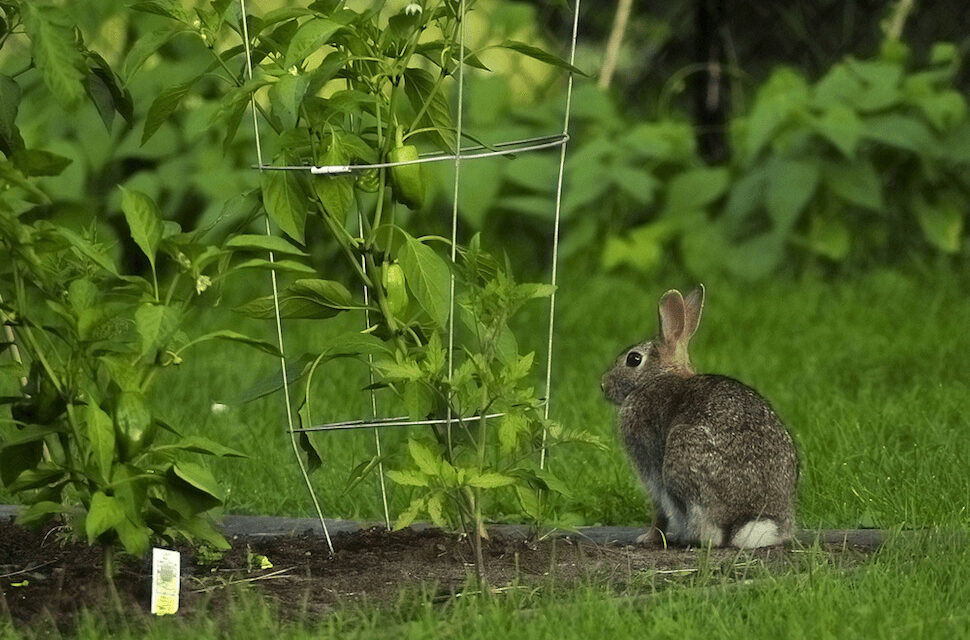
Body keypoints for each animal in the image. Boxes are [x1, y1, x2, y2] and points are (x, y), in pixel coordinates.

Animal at [600, 286, 796, 552]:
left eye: (633, 359)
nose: (604, 385)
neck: (657, 377)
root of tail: (748, 520)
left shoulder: (651, 468)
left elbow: (659, 511)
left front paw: (648, 538)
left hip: (680, 458)